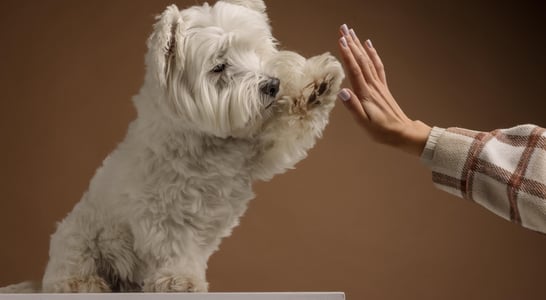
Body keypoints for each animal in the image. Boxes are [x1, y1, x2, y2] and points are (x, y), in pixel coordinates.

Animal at [0, 0, 340, 292]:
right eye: (219, 67)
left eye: (255, 50)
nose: (272, 85)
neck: (208, 140)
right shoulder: (163, 209)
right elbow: (174, 247)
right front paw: (180, 280)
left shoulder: (259, 150)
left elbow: (287, 130)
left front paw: (318, 86)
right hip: (79, 237)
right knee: (69, 269)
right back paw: (84, 283)